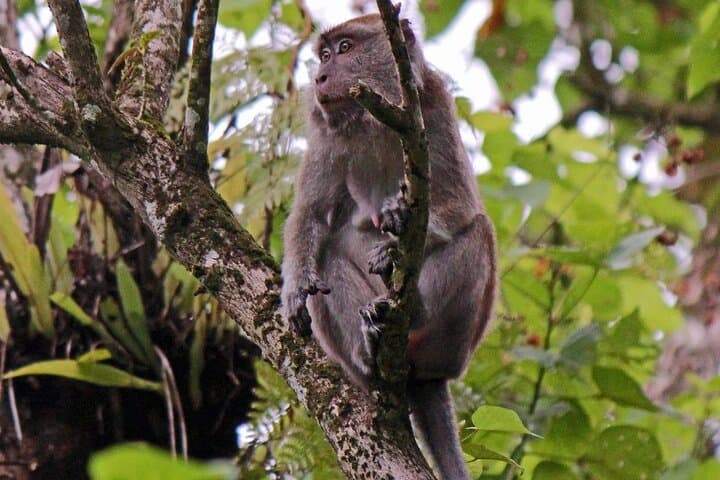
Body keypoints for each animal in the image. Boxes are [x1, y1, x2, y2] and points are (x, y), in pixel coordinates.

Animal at [281, 13, 496, 480]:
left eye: (345, 49)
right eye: (324, 55)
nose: (320, 78)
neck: (378, 120)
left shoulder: (433, 108)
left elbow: (460, 206)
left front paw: (396, 237)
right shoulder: (326, 134)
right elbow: (310, 215)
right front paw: (294, 290)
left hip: (456, 344)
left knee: (480, 230)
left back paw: (415, 309)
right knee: (327, 256)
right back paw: (369, 351)